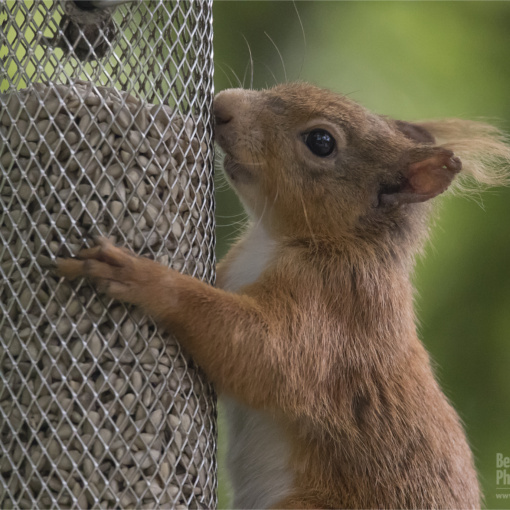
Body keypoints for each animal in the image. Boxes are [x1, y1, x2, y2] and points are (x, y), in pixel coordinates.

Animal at [56, 82, 510, 506]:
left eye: (321, 141)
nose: (222, 106)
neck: (278, 240)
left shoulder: (336, 309)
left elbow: (266, 355)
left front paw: (143, 276)